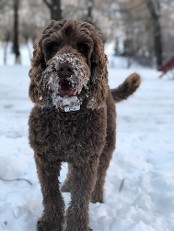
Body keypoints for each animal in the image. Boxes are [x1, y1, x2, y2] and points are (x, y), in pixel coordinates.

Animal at [28, 19, 140, 231]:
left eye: (82, 47)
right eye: (52, 46)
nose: (64, 68)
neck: (67, 116)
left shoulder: (87, 158)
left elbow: (80, 198)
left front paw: (77, 226)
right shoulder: (45, 157)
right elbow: (51, 194)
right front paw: (50, 222)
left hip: (106, 145)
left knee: (101, 174)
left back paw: (96, 196)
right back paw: (67, 185)